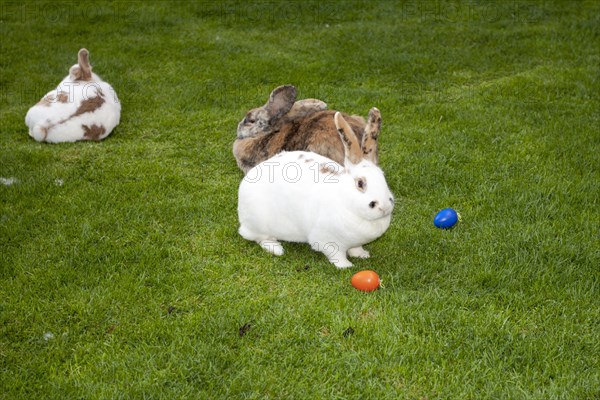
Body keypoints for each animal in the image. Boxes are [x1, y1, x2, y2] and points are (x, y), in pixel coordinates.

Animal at [237, 108, 396, 268]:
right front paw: (346, 266)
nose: (384, 207)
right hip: (258, 223)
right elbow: (337, 255)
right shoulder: (328, 241)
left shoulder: (355, 243)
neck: (345, 199)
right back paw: (277, 249)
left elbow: (356, 249)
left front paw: (362, 255)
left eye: (382, 176)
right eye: (360, 183)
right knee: (258, 237)